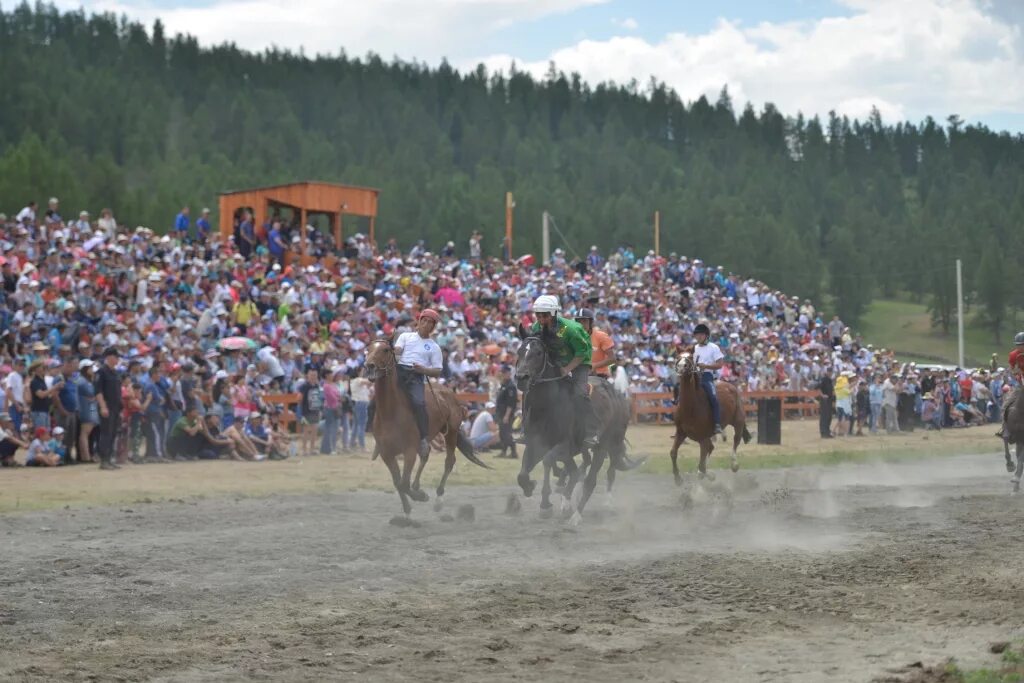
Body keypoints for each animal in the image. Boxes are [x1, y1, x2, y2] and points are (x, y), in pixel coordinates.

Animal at [362, 339, 489, 516]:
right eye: (368, 349)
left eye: (386, 349)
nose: (369, 366)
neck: (391, 412)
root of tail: (449, 393)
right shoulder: (387, 454)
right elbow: (398, 482)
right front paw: (408, 508)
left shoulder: (409, 451)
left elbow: (403, 483)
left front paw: (421, 496)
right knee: (426, 454)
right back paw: (418, 487)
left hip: (451, 433)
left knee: (449, 461)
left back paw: (438, 499)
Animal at [671, 352, 753, 485]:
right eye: (678, 356)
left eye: (690, 357)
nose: (681, 366)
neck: (691, 407)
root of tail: (731, 386)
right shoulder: (681, 432)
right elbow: (673, 453)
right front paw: (678, 478)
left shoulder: (702, 436)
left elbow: (702, 462)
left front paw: (707, 474)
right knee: (711, 448)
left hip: (738, 421)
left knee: (736, 440)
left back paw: (734, 464)